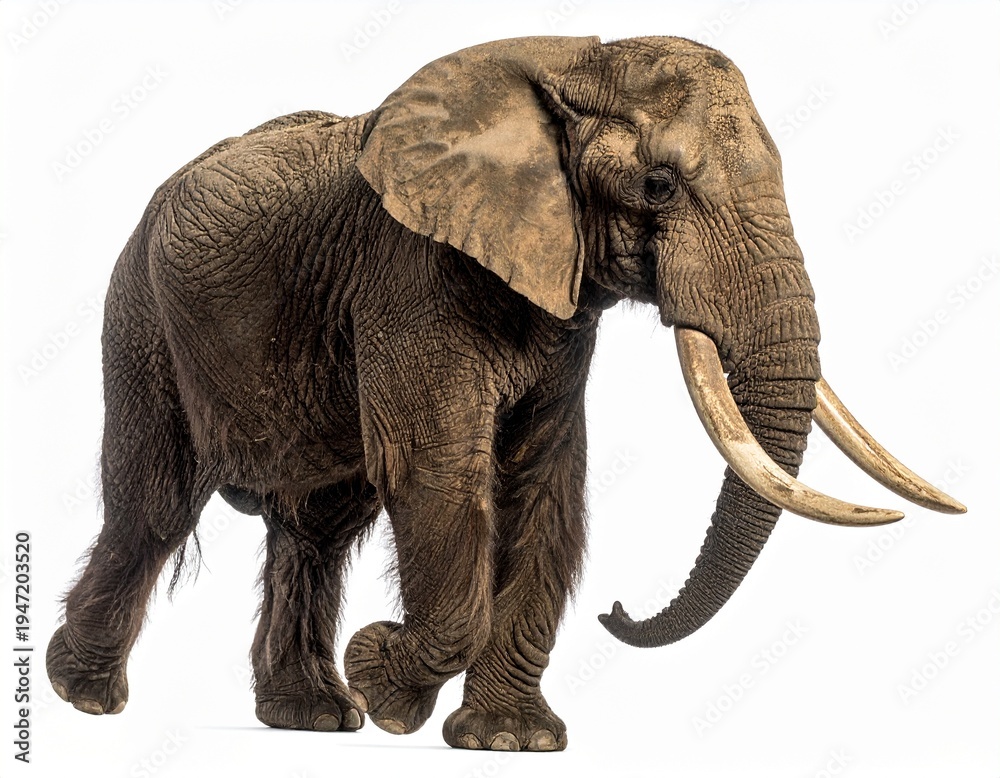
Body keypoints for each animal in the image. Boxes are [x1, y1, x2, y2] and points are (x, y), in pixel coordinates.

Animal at [46, 35, 964, 752]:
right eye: (660, 186)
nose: (618, 612)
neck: (572, 62)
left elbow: (543, 482)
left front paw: (505, 740)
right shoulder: (411, 272)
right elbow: (439, 473)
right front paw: (386, 684)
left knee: (318, 524)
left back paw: (312, 718)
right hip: (141, 314)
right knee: (156, 505)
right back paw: (82, 695)